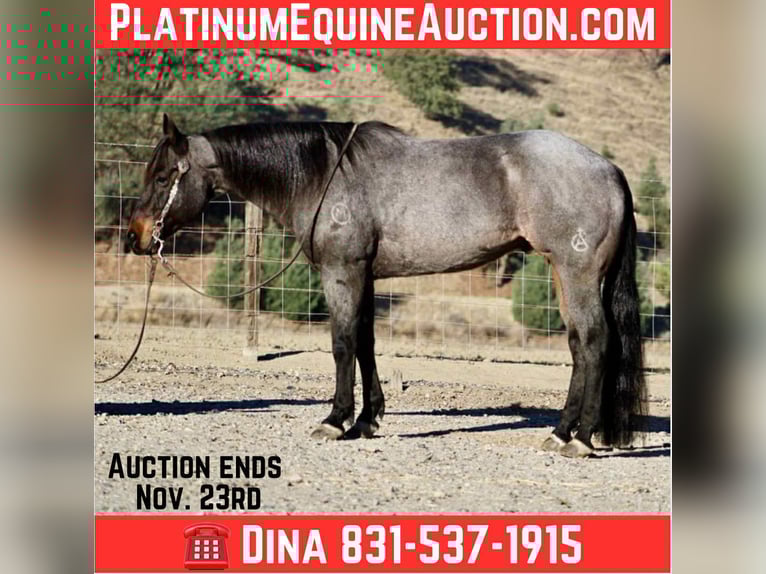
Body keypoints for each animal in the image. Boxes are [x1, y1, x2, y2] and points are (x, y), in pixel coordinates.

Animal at [127, 114, 646, 458]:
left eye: (162, 176)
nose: (136, 237)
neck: (324, 175)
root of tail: (609, 169)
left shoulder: (342, 272)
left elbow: (342, 344)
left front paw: (335, 421)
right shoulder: (365, 276)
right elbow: (365, 344)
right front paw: (367, 419)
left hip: (577, 274)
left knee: (595, 343)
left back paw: (580, 438)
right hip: (563, 273)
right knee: (579, 346)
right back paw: (561, 431)